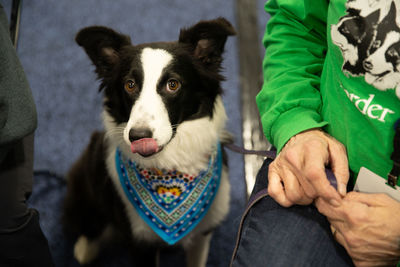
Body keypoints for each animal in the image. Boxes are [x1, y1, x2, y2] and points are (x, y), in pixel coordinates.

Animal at [63, 17, 236, 266]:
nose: (138, 136)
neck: (168, 167)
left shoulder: (203, 232)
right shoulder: (139, 242)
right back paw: (85, 248)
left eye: (173, 84)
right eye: (130, 84)